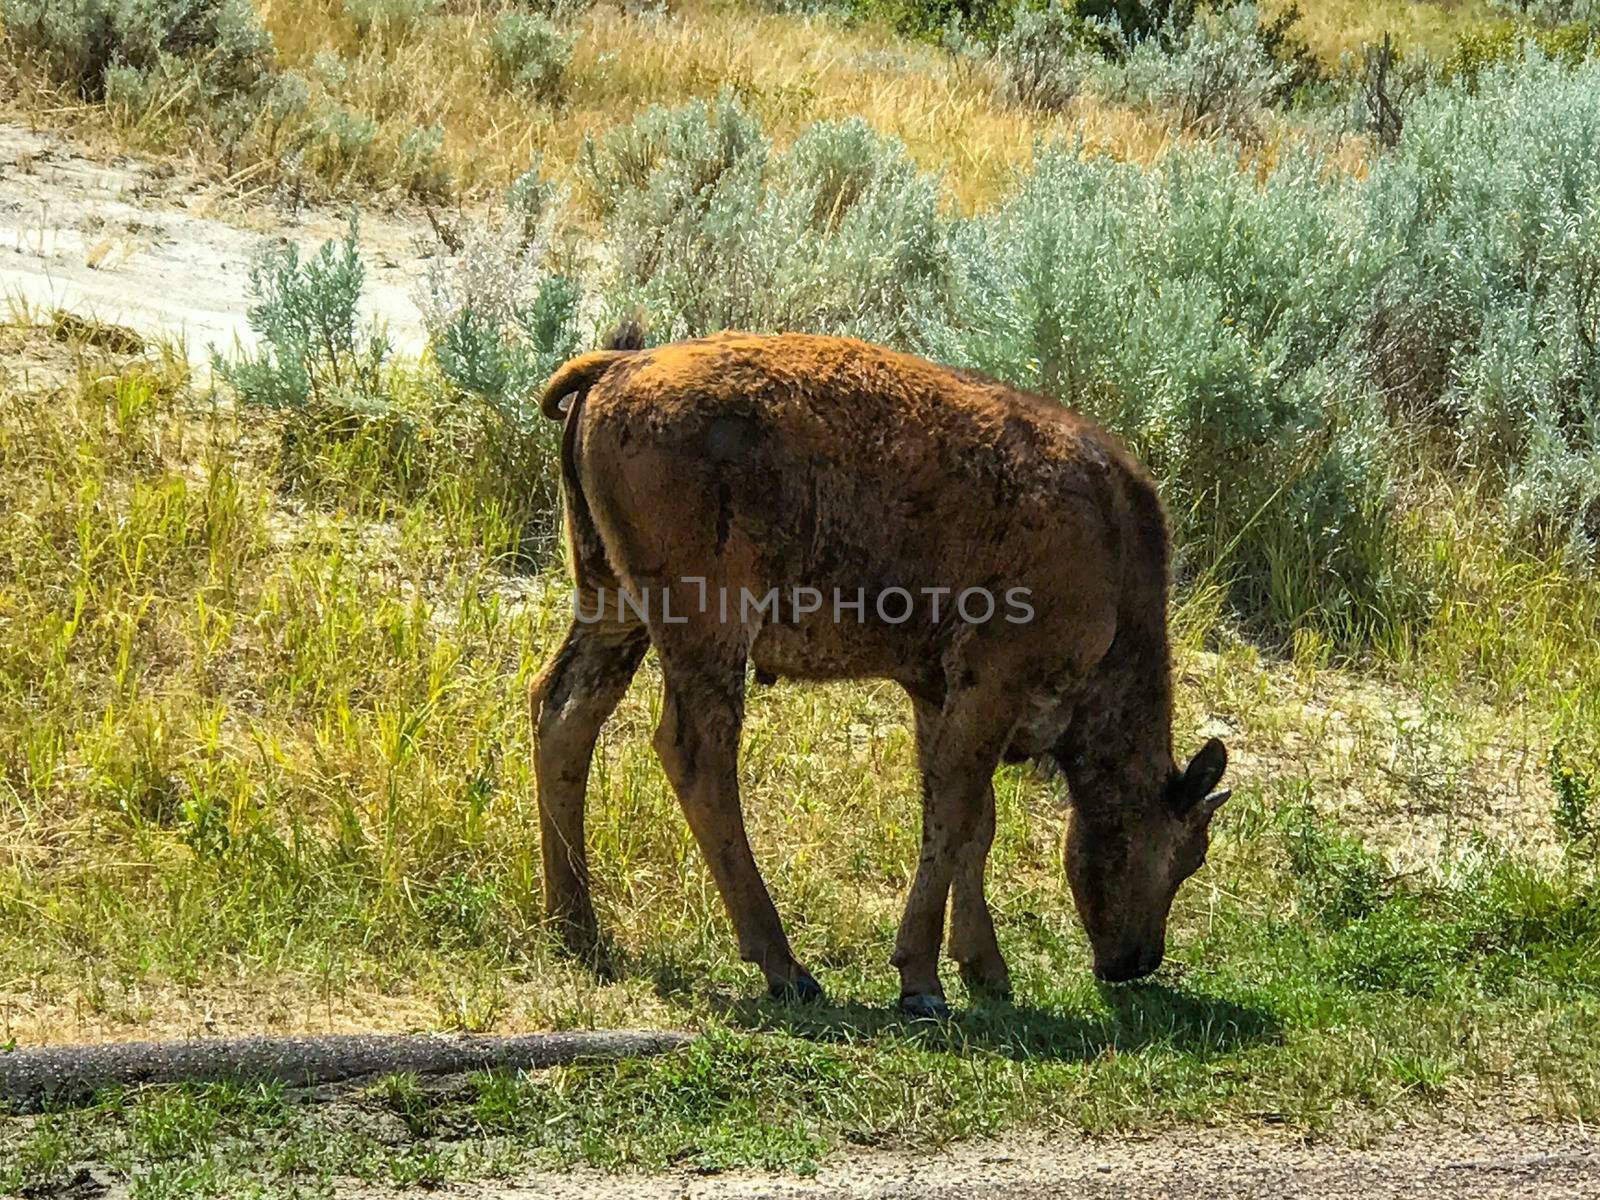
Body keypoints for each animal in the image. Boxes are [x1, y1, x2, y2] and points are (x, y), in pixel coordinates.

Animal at [531, 331, 1228, 1017]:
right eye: (1189, 855)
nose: (1136, 961)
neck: (1111, 548)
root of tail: (619, 367)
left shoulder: (937, 691)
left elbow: (971, 821)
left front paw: (985, 972)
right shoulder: (994, 681)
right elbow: (957, 808)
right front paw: (921, 981)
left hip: (611, 605)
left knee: (563, 712)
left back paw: (576, 926)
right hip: (706, 628)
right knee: (697, 755)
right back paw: (785, 967)